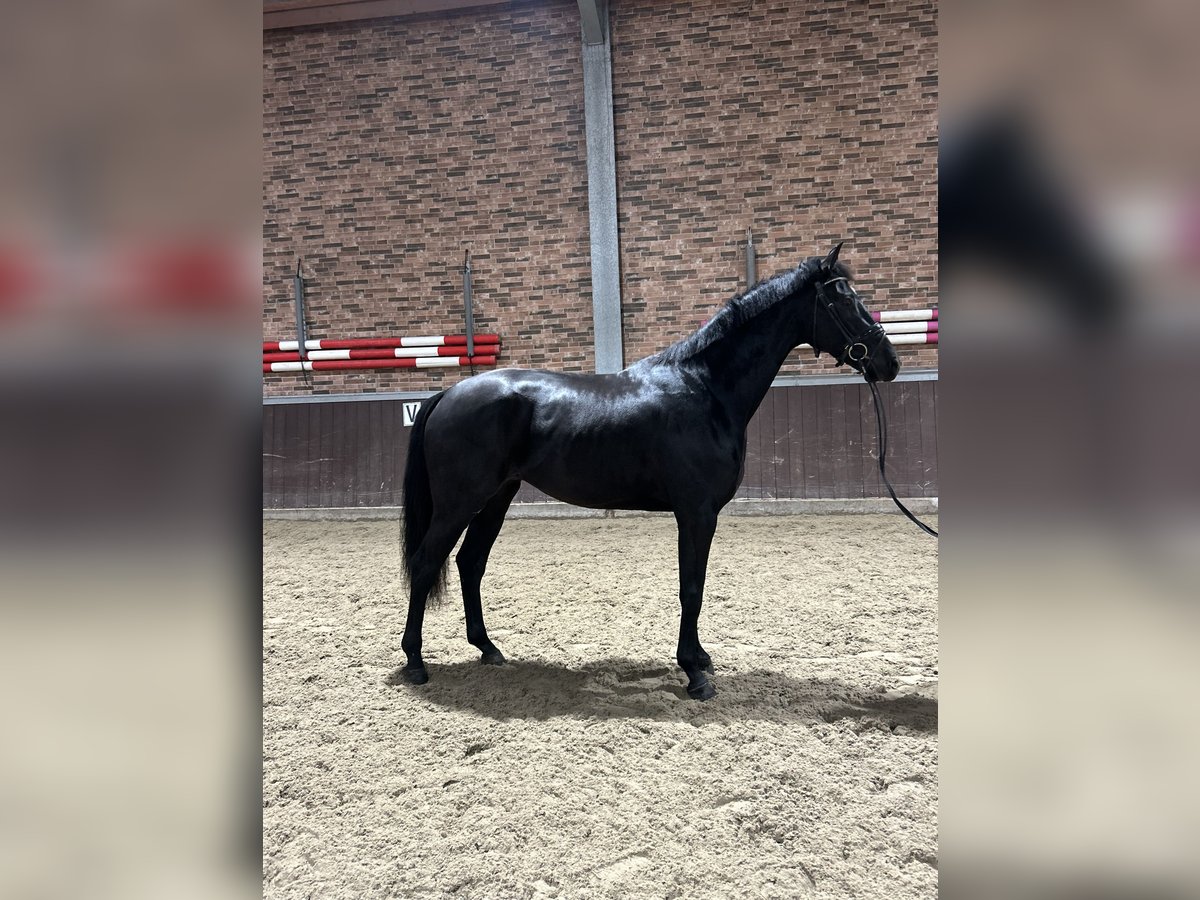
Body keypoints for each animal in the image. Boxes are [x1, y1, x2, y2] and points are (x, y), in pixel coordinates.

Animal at [398, 242, 900, 700]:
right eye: (842, 299)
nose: (889, 363)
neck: (706, 390)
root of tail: (449, 393)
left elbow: (695, 587)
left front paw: (700, 660)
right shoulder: (696, 512)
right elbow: (691, 588)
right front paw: (694, 674)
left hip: (495, 498)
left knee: (470, 563)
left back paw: (488, 649)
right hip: (460, 502)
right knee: (426, 563)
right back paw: (415, 662)